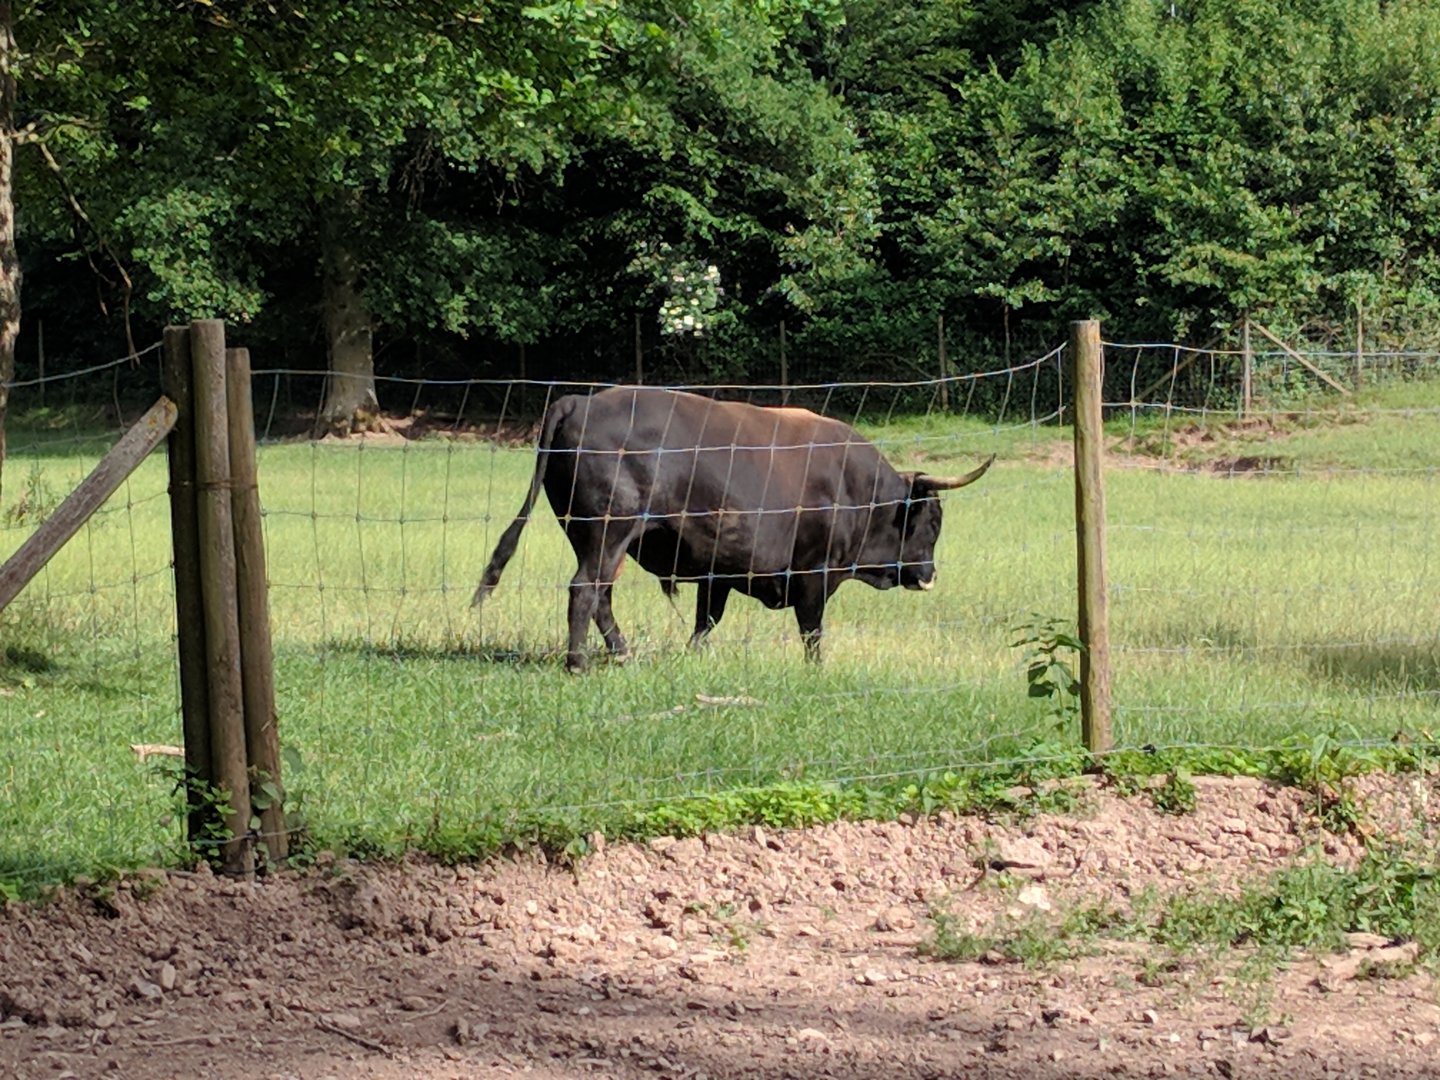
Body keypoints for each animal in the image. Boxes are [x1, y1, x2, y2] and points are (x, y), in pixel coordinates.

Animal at [473, 386, 994, 671]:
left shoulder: (718, 572)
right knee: (585, 590)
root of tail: (580, 402)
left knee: (601, 595)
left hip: (603, 542)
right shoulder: (814, 575)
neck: (859, 489)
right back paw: (578, 662)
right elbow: (812, 631)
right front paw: (816, 671)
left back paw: (623, 653)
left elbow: (706, 622)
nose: (928, 575)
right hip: (608, 534)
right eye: (932, 521)